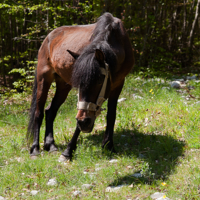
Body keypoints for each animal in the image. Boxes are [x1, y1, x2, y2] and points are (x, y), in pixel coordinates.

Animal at [26, 12, 133, 161]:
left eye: (100, 81)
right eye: (79, 83)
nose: (85, 122)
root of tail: (48, 37)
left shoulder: (118, 84)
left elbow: (111, 114)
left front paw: (108, 145)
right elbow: (78, 123)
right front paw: (68, 151)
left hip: (63, 85)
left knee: (50, 111)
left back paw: (51, 145)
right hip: (43, 79)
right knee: (38, 112)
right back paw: (35, 148)